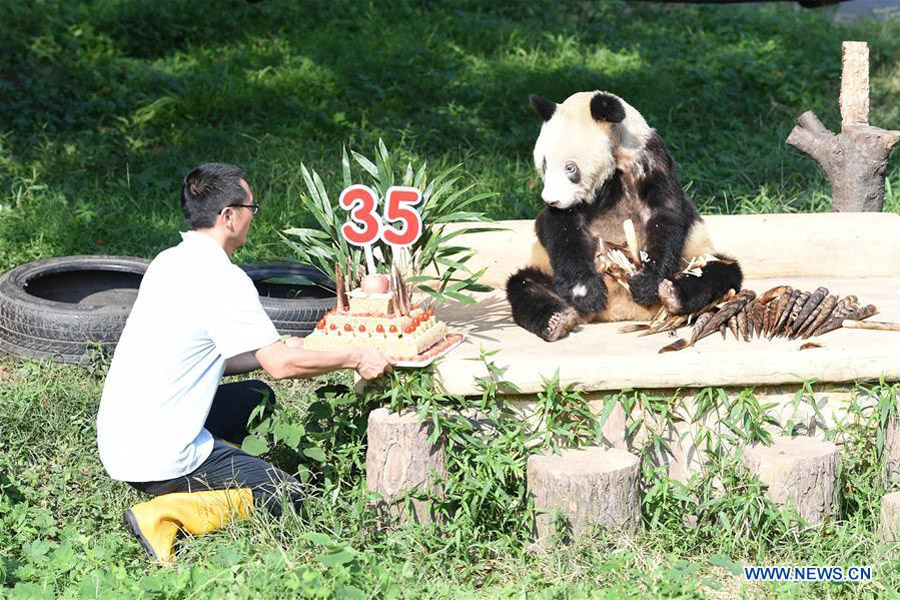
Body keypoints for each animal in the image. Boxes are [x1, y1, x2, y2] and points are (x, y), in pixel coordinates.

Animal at [506, 89, 744, 342]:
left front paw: (646, 283)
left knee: (720, 270)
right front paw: (586, 292)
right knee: (524, 284)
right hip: (548, 273)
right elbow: (561, 230)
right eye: (544, 165)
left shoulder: (652, 163)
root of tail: (619, 310)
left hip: (694, 256)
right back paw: (557, 320)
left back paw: (673, 293)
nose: (551, 200)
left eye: (570, 168)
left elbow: (665, 217)